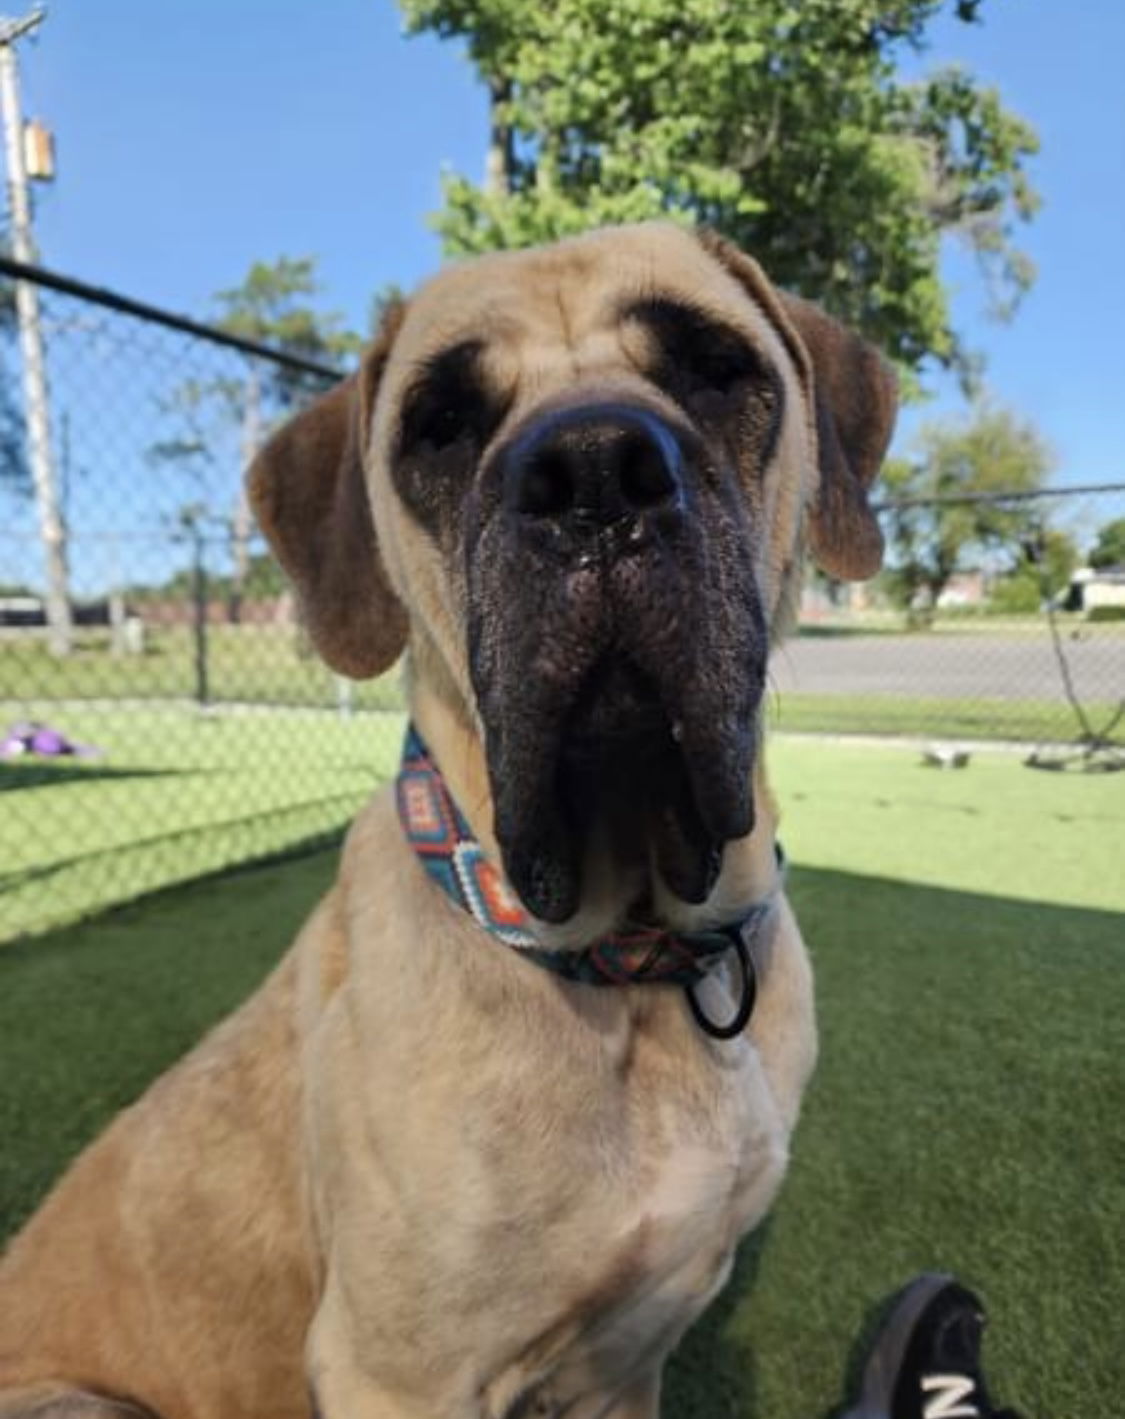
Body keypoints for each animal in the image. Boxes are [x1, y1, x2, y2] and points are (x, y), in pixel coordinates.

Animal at [0, 221, 896, 1419]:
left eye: (714, 367)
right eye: (441, 423)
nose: (595, 473)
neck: (633, 970)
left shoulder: (628, 1366)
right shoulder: (396, 1373)